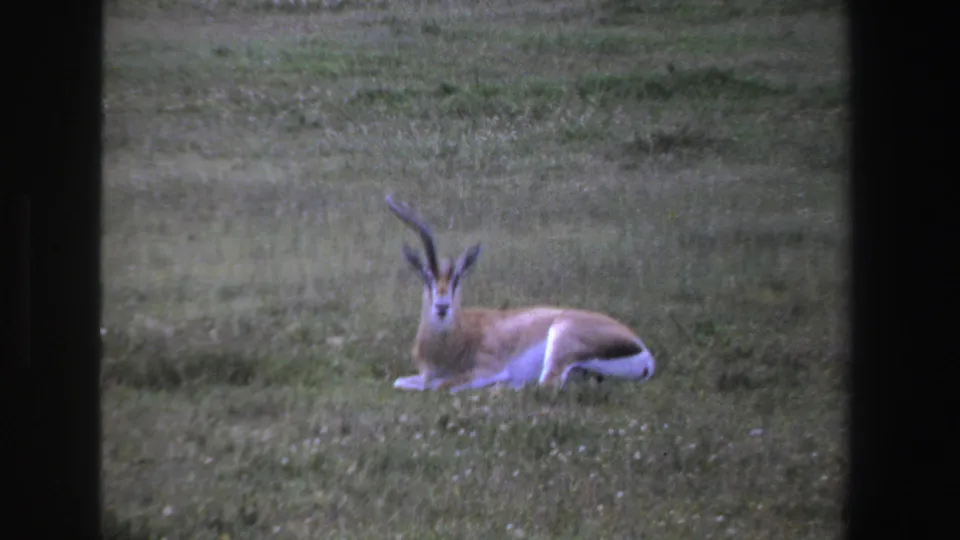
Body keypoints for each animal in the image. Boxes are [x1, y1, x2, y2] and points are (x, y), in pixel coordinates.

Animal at [386, 195, 656, 394]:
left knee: (545, 385)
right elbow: (401, 382)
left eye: (457, 279)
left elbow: (441, 386)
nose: (442, 307)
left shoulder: (488, 368)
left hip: (560, 339)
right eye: (427, 277)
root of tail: (643, 352)